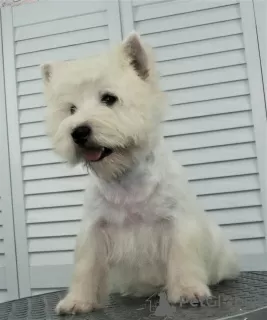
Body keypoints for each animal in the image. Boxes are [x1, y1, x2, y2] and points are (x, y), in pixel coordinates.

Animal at [42, 31, 241, 316]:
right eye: (71, 109)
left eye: (109, 98)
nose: (78, 132)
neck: (124, 176)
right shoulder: (95, 229)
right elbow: (87, 267)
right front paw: (77, 301)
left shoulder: (177, 223)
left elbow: (183, 257)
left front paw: (188, 291)